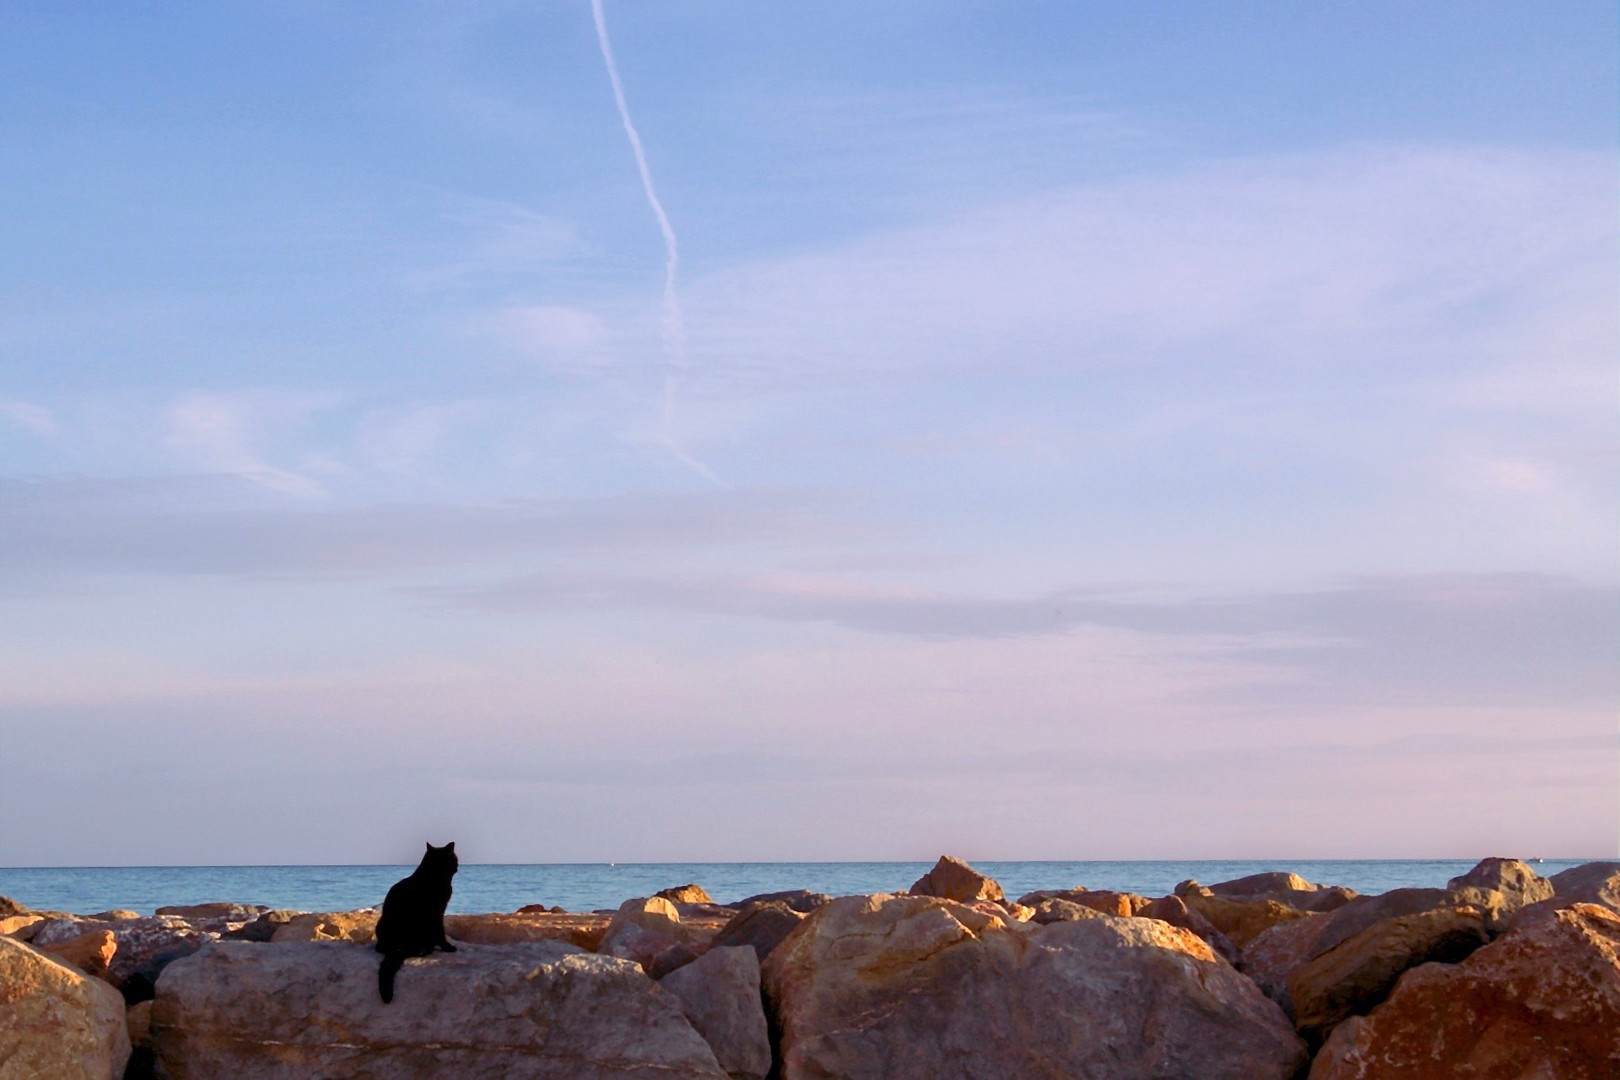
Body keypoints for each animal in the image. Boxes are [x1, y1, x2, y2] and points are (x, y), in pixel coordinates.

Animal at [372, 841, 456, 1003]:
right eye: (454, 859)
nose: (457, 867)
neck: (433, 875)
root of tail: (399, 947)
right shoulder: (437, 914)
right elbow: (440, 933)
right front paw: (448, 947)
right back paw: (424, 949)